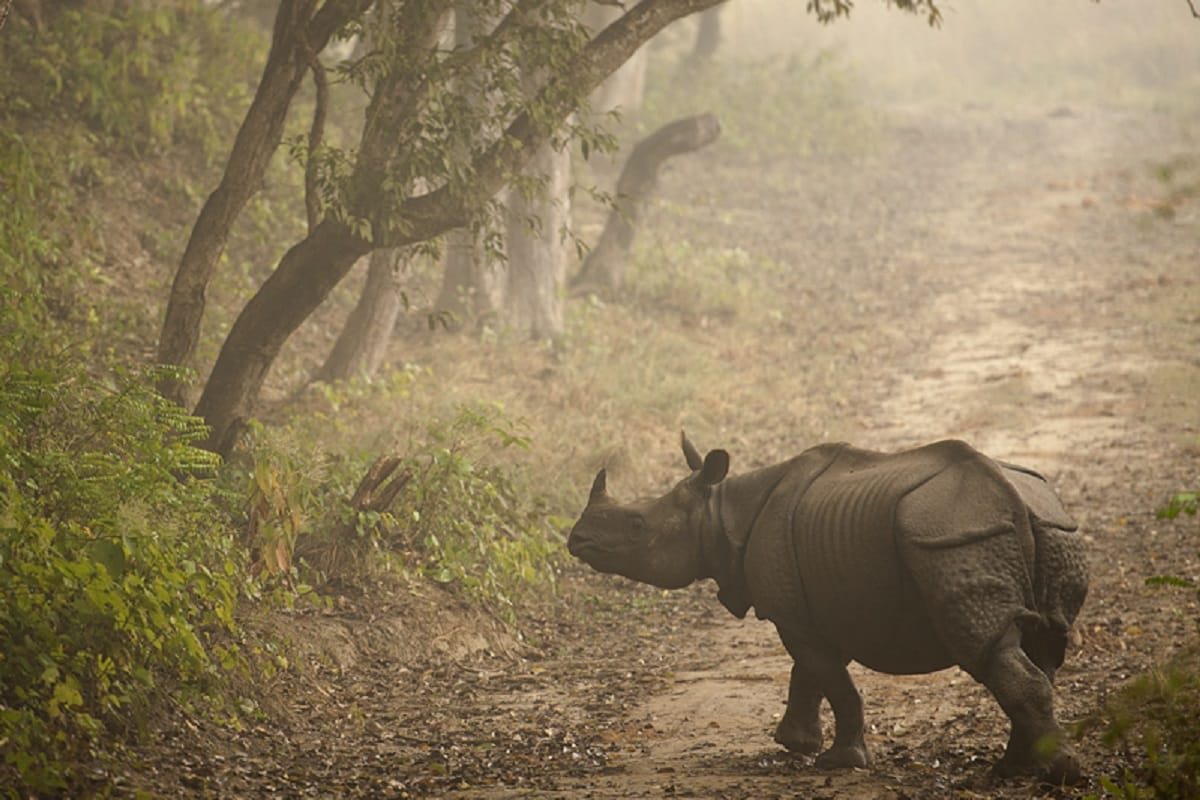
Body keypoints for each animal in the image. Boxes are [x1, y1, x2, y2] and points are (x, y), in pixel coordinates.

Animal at [568, 434, 1088, 784]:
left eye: (637, 525)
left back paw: (1057, 773)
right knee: (1043, 646)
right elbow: (812, 672)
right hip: (1051, 526)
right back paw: (1015, 769)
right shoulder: (818, 603)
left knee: (988, 648)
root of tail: (1009, 495)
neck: (723, 510)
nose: (577, 540)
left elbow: (829, 678)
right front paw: (795, 742)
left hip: (953, 536)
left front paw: (836, 760)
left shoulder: (792, 613)